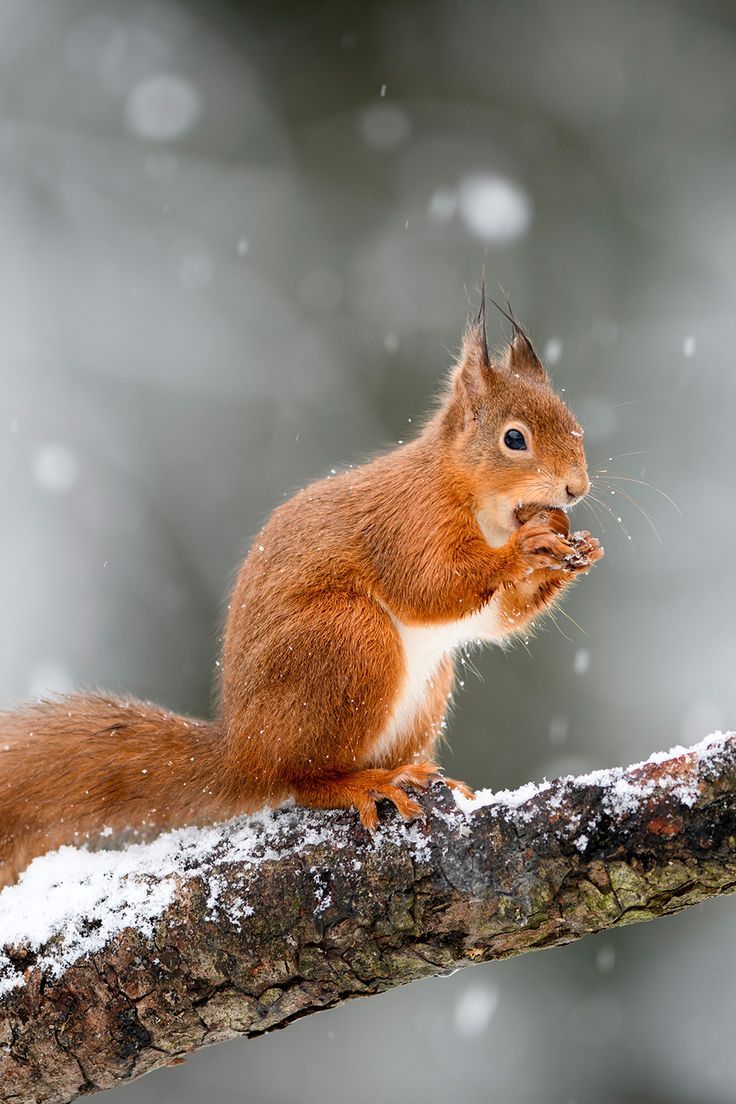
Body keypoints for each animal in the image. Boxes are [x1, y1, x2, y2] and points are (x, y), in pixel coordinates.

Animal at [0, 296, 603, 888]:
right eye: (514, 439)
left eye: (575, 426)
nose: (576, 488)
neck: (476, 498)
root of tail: (241, 754)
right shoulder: (409, 523)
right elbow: (432, 585)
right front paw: (525, 549)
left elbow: (497, 621)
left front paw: (576, 555)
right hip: (348, 643)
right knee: (301, 780)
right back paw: (362, 784)